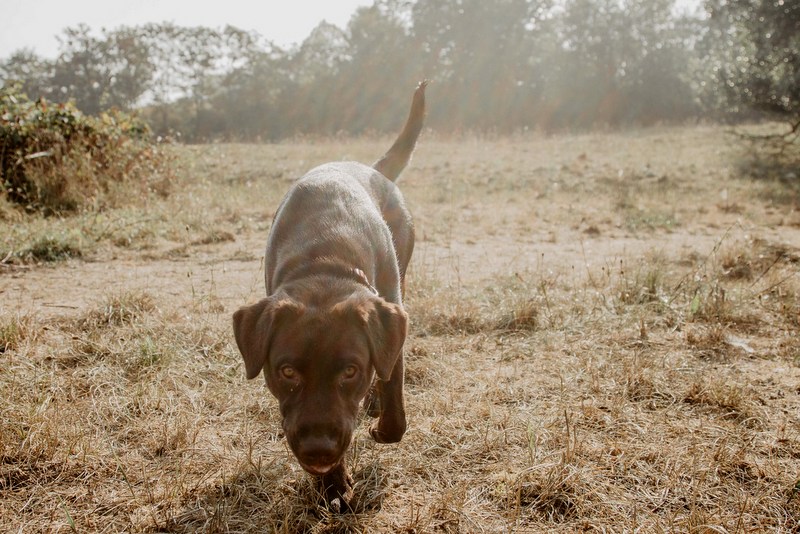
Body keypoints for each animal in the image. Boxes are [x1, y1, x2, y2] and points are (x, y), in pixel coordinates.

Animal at [234, 80, 428, 506]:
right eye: (287, 372)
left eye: (350, 371)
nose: (318, 450)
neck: (325, 258)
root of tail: (374, 169)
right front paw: (333, 486)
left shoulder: (392, 315)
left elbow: (394, 404)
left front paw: (379, 426)